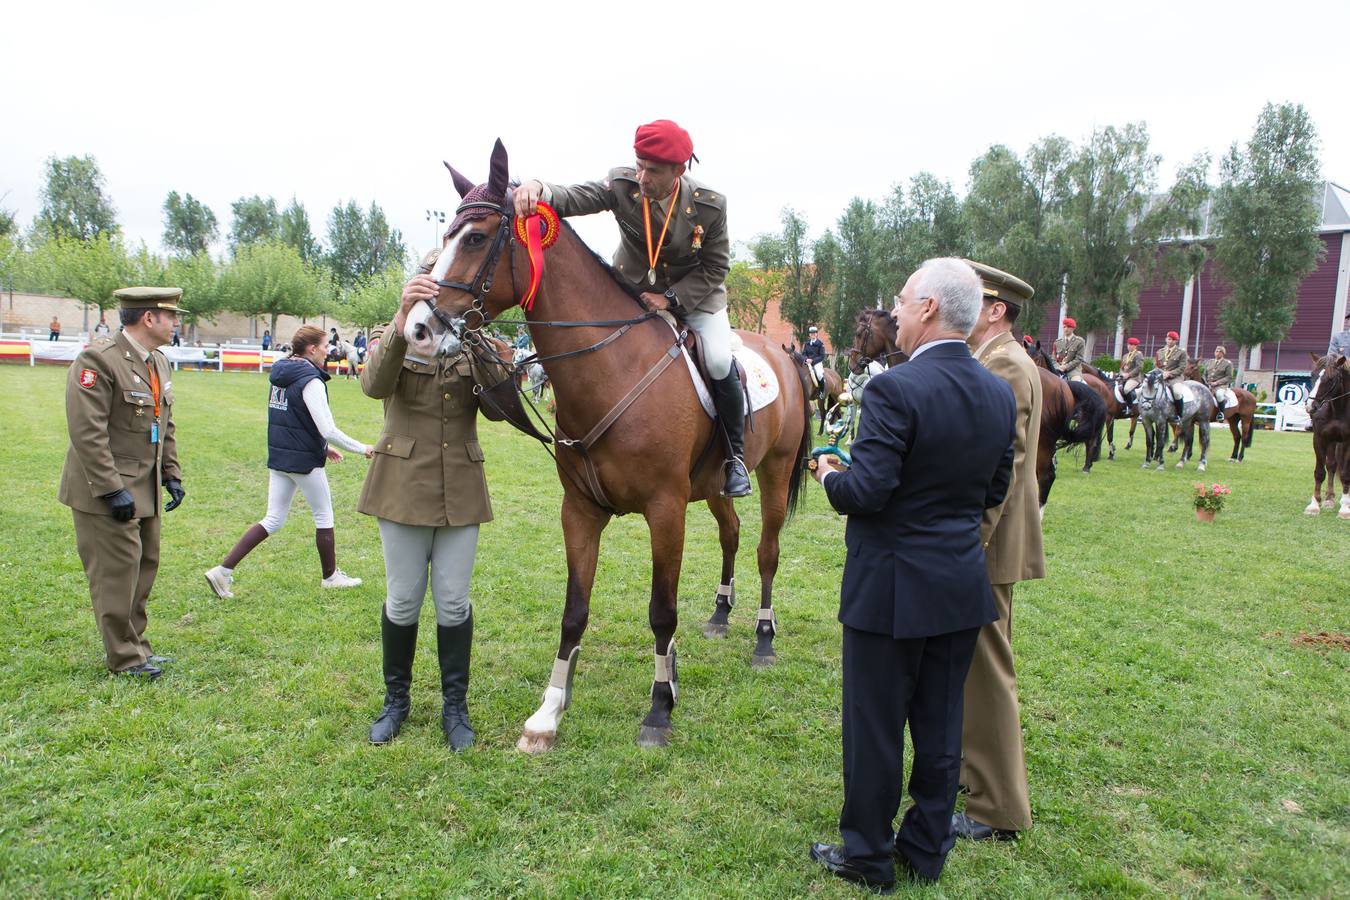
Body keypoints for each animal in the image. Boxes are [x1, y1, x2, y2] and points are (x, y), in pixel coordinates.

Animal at [410, 144, 810, 755]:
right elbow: (574, 611)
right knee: (732, 534)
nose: (417, 330)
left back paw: (763, 638)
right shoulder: (580, 511)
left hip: (776, 470)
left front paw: (660, 708)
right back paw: (721, 614)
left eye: (475, 238)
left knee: (766, 550)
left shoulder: (665, 511)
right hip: (715, 486)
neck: (612, 367)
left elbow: (662, 613)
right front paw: (548, 713)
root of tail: (786, 355)